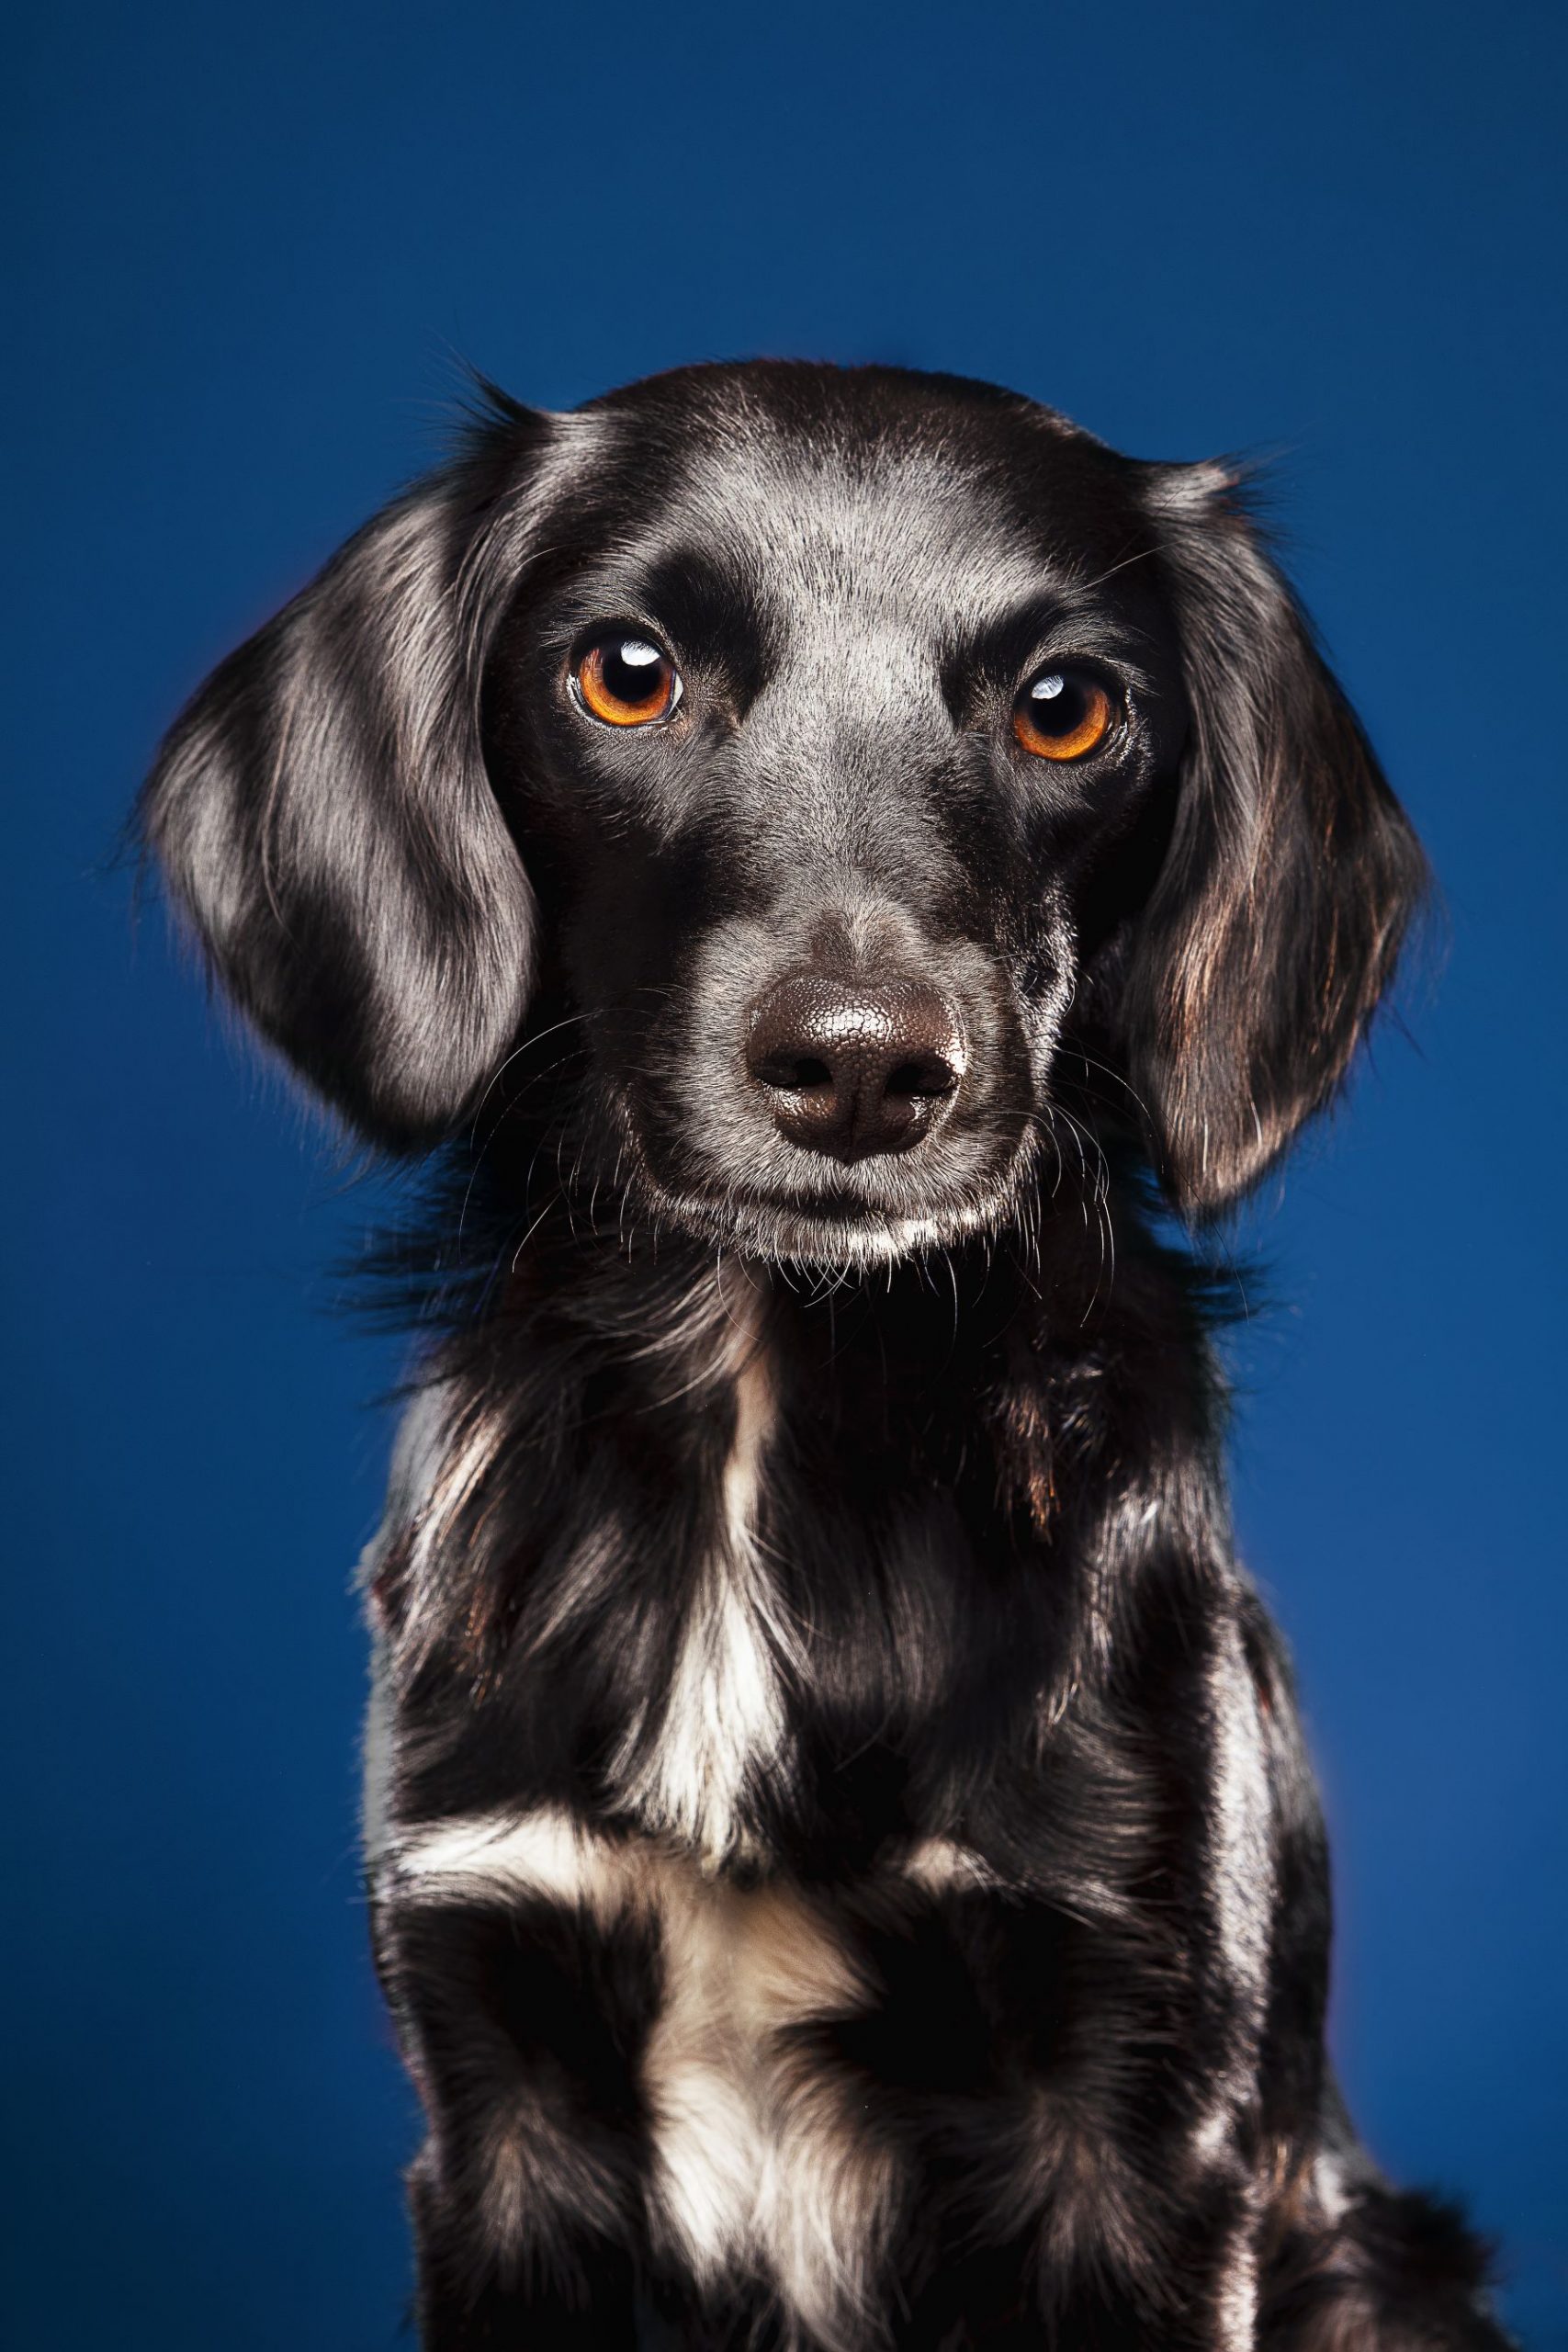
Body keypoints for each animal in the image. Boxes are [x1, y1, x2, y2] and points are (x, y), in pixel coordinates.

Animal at [141, 367, 1514, 2352]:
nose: (864, 1065)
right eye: (625, 672)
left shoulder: (1139, 2121)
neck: (759, 1410)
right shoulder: (497, 2095)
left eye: (1065, 706)